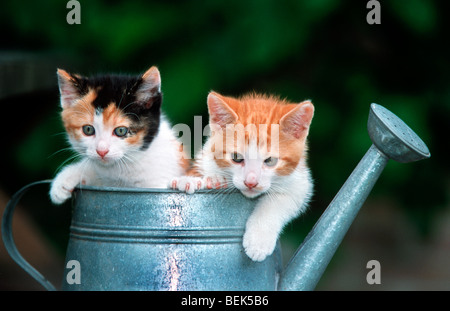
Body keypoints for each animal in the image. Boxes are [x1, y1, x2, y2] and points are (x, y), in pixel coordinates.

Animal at [172, 92, 312, 264]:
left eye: (270, 161)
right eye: (237, 158)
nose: (251, 182)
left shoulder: (300, 184)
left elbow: (280, 201)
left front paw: (258, 241)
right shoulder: (204, 158)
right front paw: (194, 179)